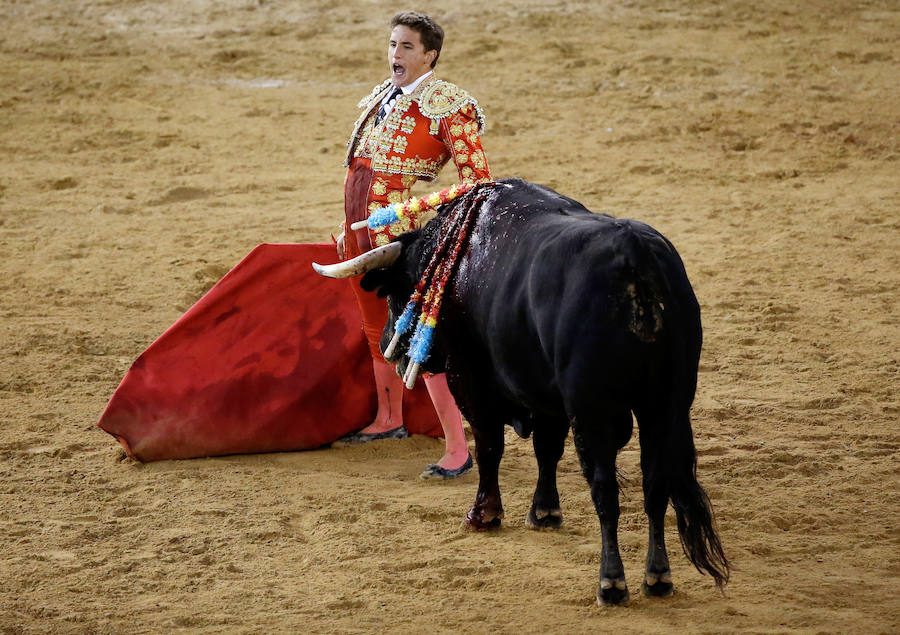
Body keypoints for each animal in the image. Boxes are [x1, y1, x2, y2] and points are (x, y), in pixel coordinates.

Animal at [322, 179, 724, 608]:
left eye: (396, 291)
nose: (387, 346)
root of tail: (637, 261)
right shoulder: (546, 393)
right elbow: (547, 449)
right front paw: (544, 512)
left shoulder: (471, 379)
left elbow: (489, 446)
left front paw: (483, 515)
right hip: (666, 406)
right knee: (656, 483)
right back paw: (658, 575)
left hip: (593, 411)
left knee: (604, 489)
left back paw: (611, 582)